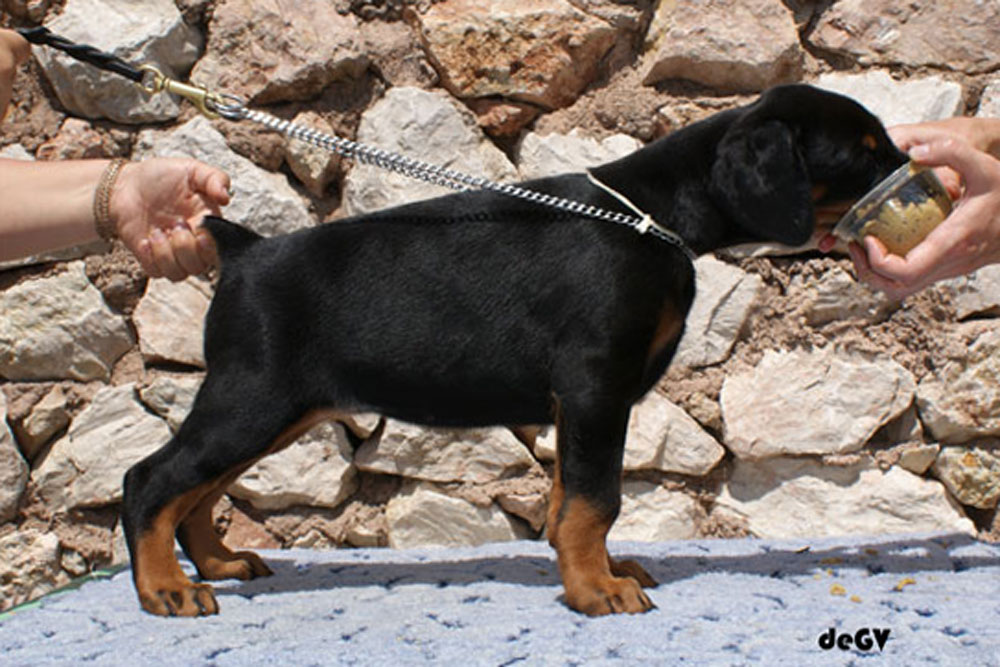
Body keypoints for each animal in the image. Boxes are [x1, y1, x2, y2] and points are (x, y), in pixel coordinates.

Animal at [122, 84, 907, 617]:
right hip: (253, 396)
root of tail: (244, 250)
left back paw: (217, 564)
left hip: (276, 409)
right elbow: (596, 496)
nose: (924, 170)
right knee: (152, 479)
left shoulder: (579, 400)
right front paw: (596, 590)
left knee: (197, 488)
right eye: (864, 157)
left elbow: (568, 498)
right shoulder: (596, 383)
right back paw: (166, 587)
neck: (654, 214)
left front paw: (596, 570)